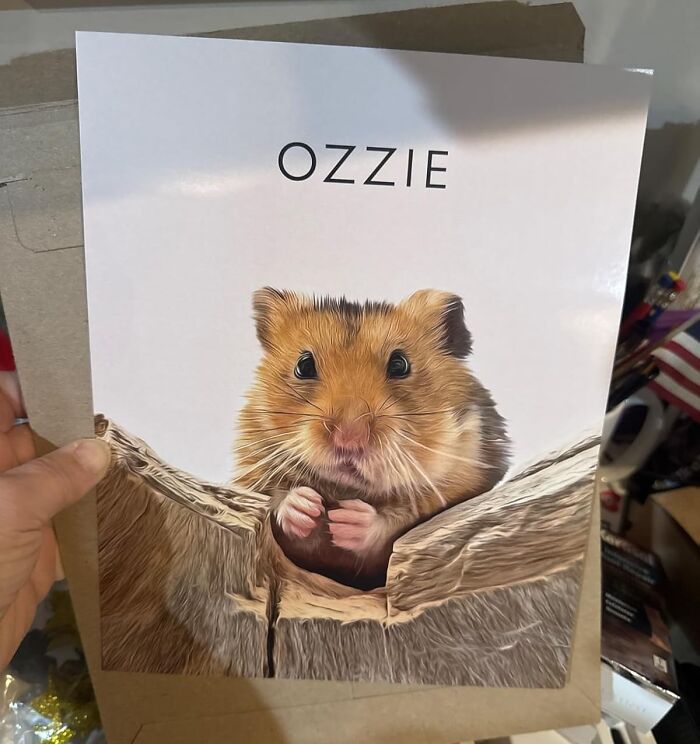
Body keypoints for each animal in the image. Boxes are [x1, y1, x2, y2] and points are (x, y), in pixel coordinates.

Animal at [234, 288, 510, 590]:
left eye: (400, 365)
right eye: (304, 366)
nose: (349, 438)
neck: (345, 490)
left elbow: (396, 526)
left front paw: (345, 520)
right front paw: (307, 506)